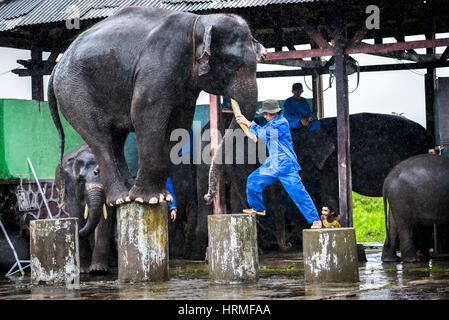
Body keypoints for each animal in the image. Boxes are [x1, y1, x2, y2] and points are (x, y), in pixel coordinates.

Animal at [49, 6, 266, 210]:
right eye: (233, 63)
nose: (207, 197)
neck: (199, 22)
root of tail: (56, 67)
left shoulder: (186, 86)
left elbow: (180, 122)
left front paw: (161, 197)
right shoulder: (158, 67)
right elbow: (145, 116)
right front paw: (148, 199)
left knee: (115, 138)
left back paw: (128, 193)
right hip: (74, 92)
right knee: (99, 137)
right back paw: (120, 198)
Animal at [54, 144, 115, 274]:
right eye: (81, 180)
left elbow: (105, 219)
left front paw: (98, 270)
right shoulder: (70, 185)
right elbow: (77, 213)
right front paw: (83, 270)